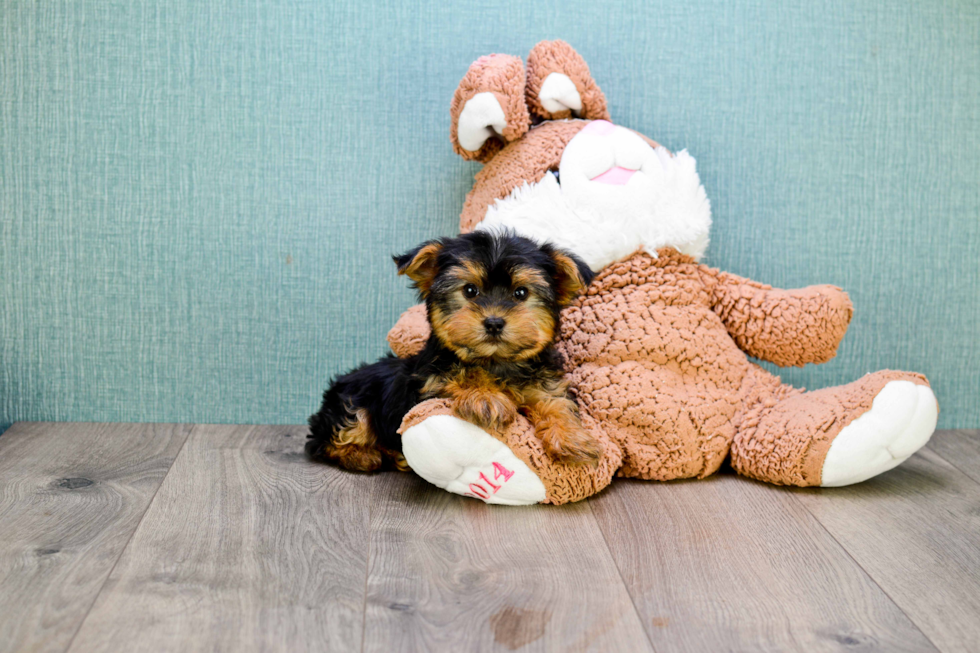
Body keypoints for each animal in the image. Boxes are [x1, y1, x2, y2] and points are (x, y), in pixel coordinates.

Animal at [306, 230, 596, 474]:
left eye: (521, 293)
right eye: (470, 290)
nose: (494, 322)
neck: (495, 361)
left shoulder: (543, 384)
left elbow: (557, 403)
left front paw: (573, 438)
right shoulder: (428, 385)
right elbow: (460, 374)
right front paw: (485, 397)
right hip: (351, 402)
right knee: (330, 437)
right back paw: (362, 455)